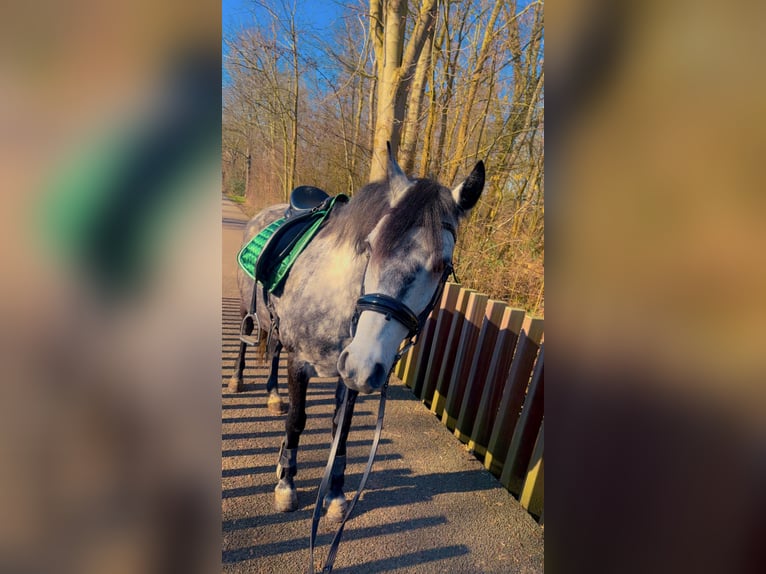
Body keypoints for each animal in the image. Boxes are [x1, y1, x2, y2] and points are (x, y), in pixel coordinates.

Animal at [228, 148, 486, 528]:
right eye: (370, 246)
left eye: (443, 265)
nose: (365, 363)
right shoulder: (300, 362)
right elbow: (297, 420)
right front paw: (286, 484)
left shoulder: (347, 375)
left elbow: (342, 427)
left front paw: (335, 493)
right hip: (250, 311)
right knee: (247, 340)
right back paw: (236, 380)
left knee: (272, 350)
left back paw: (274, 395)